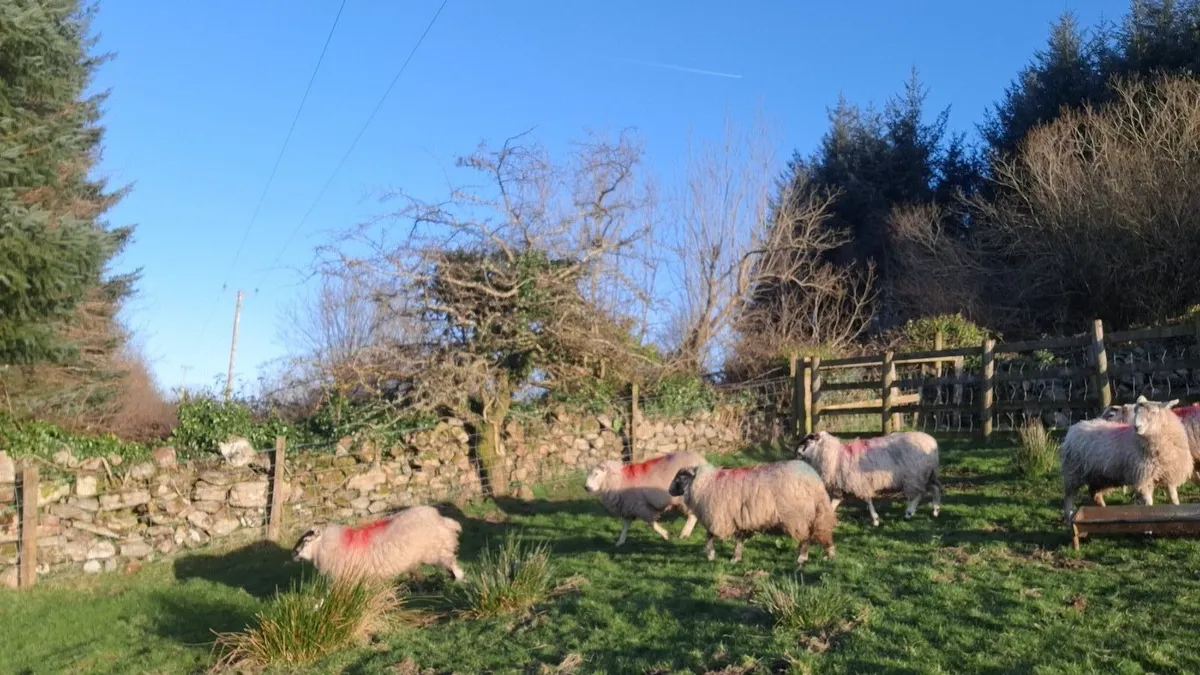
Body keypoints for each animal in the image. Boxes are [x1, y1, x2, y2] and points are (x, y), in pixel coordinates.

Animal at [292, 505, 465, 583]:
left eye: (305, 541)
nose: (293, 553)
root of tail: (439, 518)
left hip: (437, 549)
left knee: (451, 562)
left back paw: (459, 579)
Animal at [667, 460, 836, 566]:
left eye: (679, 478)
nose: (669, 491)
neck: (706, 483)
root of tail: (814, 481)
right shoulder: (741, 519)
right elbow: (739, 540)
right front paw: (735, 558)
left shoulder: (721, 518)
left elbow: (709, 535)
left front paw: (710, 554)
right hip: (813, 514)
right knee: (819, 534)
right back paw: (826, 554)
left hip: (797, 516)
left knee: (805, 538)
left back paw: (802, 557)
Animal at [795, 430, 941, 527]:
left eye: (807, 441)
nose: (796, 453)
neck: (835, 456)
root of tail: (932, 442)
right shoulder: (842, 487)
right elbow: (833, 504)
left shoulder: (859, 482)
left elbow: (867, 500)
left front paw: (875, 519)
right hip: (927, 474)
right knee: (935, 488)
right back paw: (935, 510)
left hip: (914, 475)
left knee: (920, 493)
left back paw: (909, 512)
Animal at [1061, 396, 1193, 521]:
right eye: (1136, 411)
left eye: (1154, 412)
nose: (1137, 427)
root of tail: (1075, 427)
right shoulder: (1143, 478)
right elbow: (1149, 503)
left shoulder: (1169, 475)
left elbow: (1174, 498)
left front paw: (1177, 509)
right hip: (1073, 472)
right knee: (1069, 495)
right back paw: (1069, 516)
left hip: (1099, 476)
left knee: (1094, 493)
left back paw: (1102, 509)